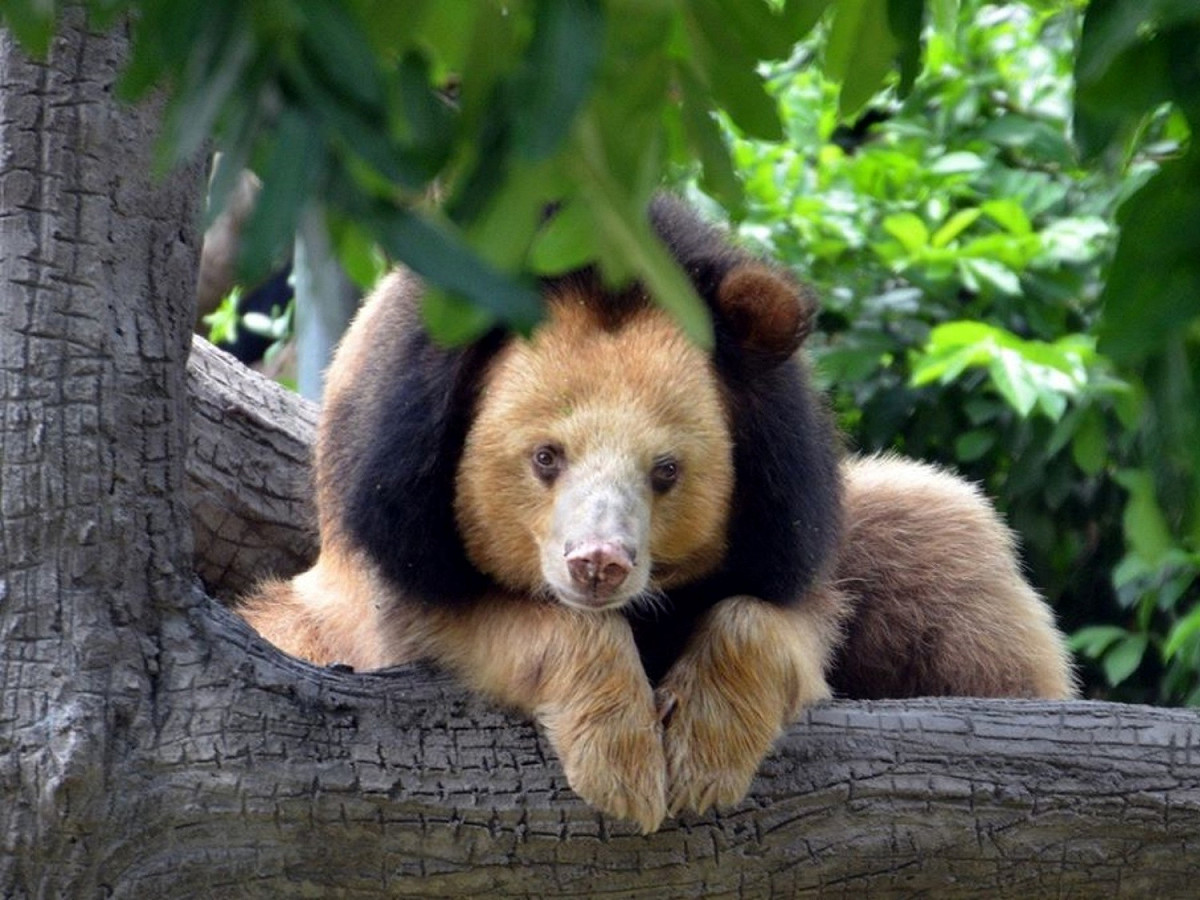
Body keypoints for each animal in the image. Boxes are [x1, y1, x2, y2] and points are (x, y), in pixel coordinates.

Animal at [237, 195, 1077, 833]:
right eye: (546, 457)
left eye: (666, 470)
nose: (598, 564)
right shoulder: (395, 528)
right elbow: (482, 624)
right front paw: (624, 766)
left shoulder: (790, 521)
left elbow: (783, 617)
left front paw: (701, 758)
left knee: (953, 549)